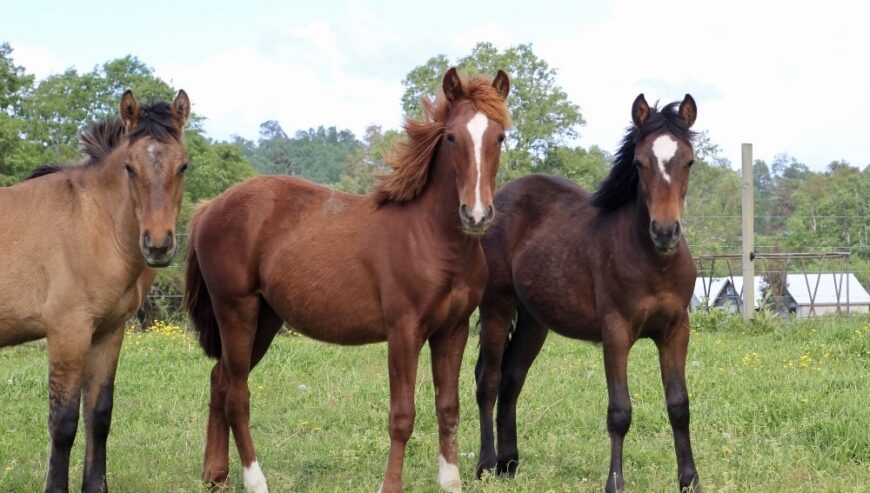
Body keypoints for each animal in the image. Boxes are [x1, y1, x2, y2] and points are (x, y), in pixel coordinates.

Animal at [0, 90, 192, 490]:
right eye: (130, 167)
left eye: (183, 165)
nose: (158, 245)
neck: (94, 223)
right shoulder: (68, 332)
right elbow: (63, 422)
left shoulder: (108, 331)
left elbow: (99, 415)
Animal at [184, 68, 510, 492]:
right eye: (452, 137)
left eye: (499, 136)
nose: (476, 214)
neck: (432, 238)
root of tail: (210, 207)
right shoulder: (404, 331)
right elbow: (402, 416)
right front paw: (390, 486)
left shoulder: (452, 331)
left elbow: (448, 407)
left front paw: (450, 482)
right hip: (236, 312)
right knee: (237, 393)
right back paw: (255, 480)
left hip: (265, 320)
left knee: (219, 380)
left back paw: (215, 475)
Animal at [474, 94, 704, 490]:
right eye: (640, 163)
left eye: (688, 161)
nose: (665, 231)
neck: (654, 263)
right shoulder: (616, 333)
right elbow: (620, 412)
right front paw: (615, 482)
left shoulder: (676, 331)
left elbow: (679, 405)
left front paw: (689, 480)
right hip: (497, 307)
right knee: (488, 380)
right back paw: (486, 465)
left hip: (534, 321)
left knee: (512, 377)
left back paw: (509, 463)